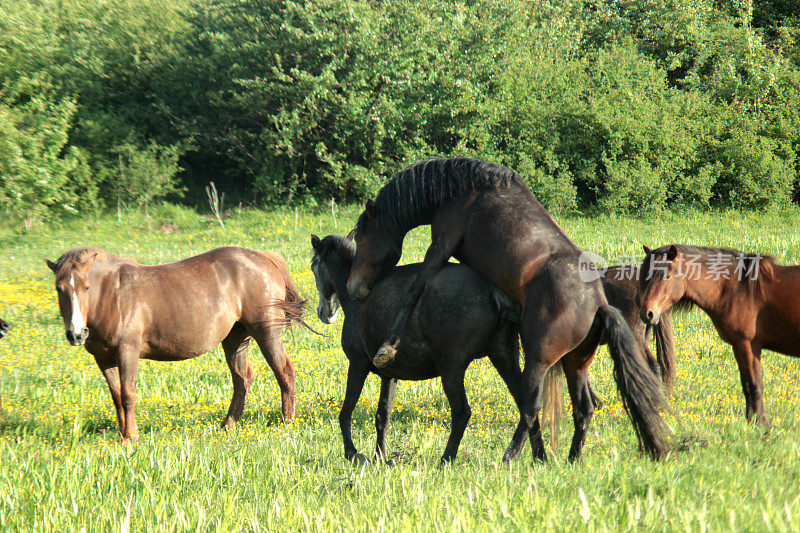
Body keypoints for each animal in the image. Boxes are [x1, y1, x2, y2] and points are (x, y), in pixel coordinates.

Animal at [47, 247, 304, 442]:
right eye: (60, 289)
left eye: (86, 287)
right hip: (236, 337)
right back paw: (228, 425)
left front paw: (130, 437)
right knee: (242, 379)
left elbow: (129, 394)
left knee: (283, 370)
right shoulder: (103, 358)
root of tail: (265, 258)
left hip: (266, 331)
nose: (76, 334)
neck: (113, 295)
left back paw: (287, 421)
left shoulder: (127, 351)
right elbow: (117, 396)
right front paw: (122, 434)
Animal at [312, 235, 532, 464]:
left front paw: (352, 453)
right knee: (527, 406)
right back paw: (525, 455)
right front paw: (379, 456)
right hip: (504, 358)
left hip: (452, 369)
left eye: (313, 266)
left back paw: (446, 460)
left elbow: (346, 412)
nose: (324, 313)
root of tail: (491, 290)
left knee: (462, 412)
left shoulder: (357, 365)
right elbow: (382, 416)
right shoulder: (389, 376)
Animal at [348, 158, 668, 462]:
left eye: (362, 237)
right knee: (583, 409)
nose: (354, 288)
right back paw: (571, 458)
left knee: (531, 406)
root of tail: (599, 305)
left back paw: (511, 455)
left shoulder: (440, 246)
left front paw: (388, 347)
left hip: (538, 360)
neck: (460, 192)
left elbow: (415, 289)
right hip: (575, 364)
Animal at [640, 244, 800, 424]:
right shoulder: (738, 346)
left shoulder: (749, 345)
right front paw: (750, 420)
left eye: (667, 276)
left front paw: (761, 422)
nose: (647, 313)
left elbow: (755, 385)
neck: (738, 289)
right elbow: (746, 385)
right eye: (646, 276)